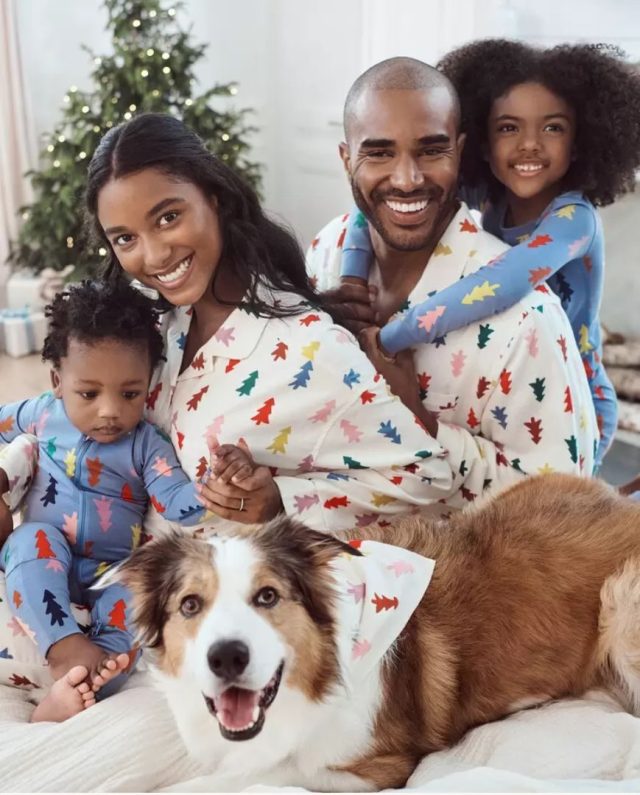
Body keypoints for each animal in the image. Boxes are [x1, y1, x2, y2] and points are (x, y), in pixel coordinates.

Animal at [110, 476, 640, 792]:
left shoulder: (374, 768)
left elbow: (260, 775)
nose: (226, 659)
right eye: (190, 605)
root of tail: (621, 503)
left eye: (268, 596)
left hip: (622, 597)